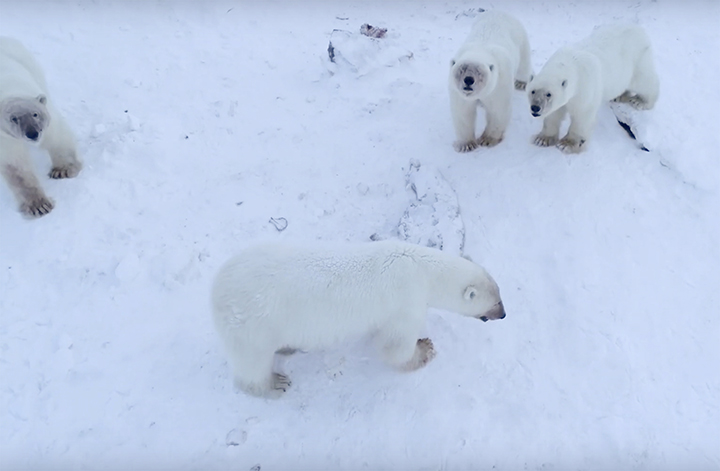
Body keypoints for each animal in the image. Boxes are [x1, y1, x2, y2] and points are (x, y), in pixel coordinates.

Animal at [0, 37, 81, 219]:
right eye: (14, 119)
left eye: (35, 114)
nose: (32, 134)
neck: (9, 89)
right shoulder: (5, 137)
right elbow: (17, 166)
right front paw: (39, 206)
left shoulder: (47, 119)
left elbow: (58, 138)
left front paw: (63, 170)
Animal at [212, 240, 506, 398]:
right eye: (494, 303)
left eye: (500, 294)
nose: (504, 314)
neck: (419, 268)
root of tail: (216, 291)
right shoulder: (406, 301)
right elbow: (394, 346)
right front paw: (424, 349)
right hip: (253, 325)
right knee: (251, 364)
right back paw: (275, 384)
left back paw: (289, 347)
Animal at [450, 10, 536, 152]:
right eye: (462, 70)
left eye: (479, 72)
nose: (468, 80)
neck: (480, 50)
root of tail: (499, 12)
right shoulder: (458, 92)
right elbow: (463, 112)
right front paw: (466, 144)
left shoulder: (499, 83)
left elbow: (498, 110)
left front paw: (487, 140)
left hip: (521, 39)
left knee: (524, 65)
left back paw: (521, 82)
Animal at [524, 24, 660, 153]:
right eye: (532, 91)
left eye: (549, 94)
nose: (535, 108)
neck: (572, 64)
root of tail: (639, 28)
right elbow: (554, 114)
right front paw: (542, 139)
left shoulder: (585, 87)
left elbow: (582, 116)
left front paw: (567, 144)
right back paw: (619, 96)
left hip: (638, 59)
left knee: (644, 81)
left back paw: (640, 101)